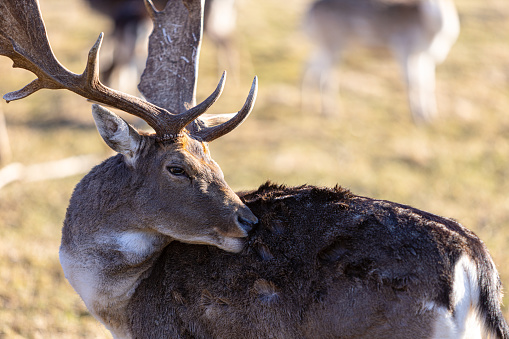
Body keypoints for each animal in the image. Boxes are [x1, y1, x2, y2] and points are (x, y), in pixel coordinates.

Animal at [302, 0, 460, 122]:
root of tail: (307, 14)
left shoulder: (426, 56)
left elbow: (428, 83)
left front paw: (431, 116)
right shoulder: (403, 49)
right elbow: (412, 83)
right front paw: (418, 117)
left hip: (321, 45)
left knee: (310, 68)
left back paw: (307, 105)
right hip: (332, 44)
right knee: (325, 76)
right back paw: (329, 112)